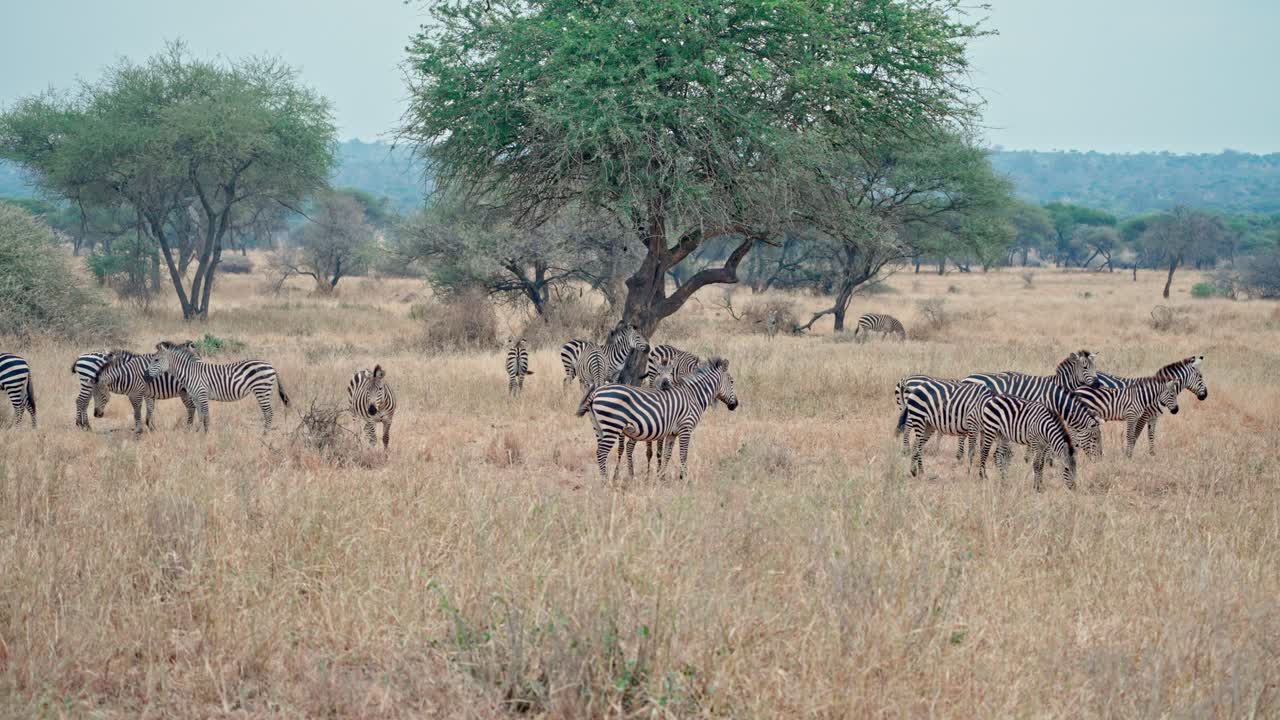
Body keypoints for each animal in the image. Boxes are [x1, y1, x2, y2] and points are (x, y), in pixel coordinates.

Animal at [146, 340, 290, 433]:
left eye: (156, 360)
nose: (145, 376)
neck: (190, 373)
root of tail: (270, 365)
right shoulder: (196, 397)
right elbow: (200, 416)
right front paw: (197, 433)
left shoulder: (202, 394)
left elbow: (206, 416)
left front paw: (206, 434)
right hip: (263, 390)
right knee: (268, 412)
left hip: (262, 390)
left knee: (269, 413)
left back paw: (265, 434)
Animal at [576, 357, 738, 481]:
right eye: (731, 381)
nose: (735, 405)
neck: (694, 396)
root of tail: (596, 391)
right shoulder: (686, 428)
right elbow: (683, 454)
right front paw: (684, 478)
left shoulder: (672, 433)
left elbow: (667, 454)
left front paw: (661, 477)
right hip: (612, 426)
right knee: (602, 453)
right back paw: (605, 482)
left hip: (598, 427)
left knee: (600, 451)